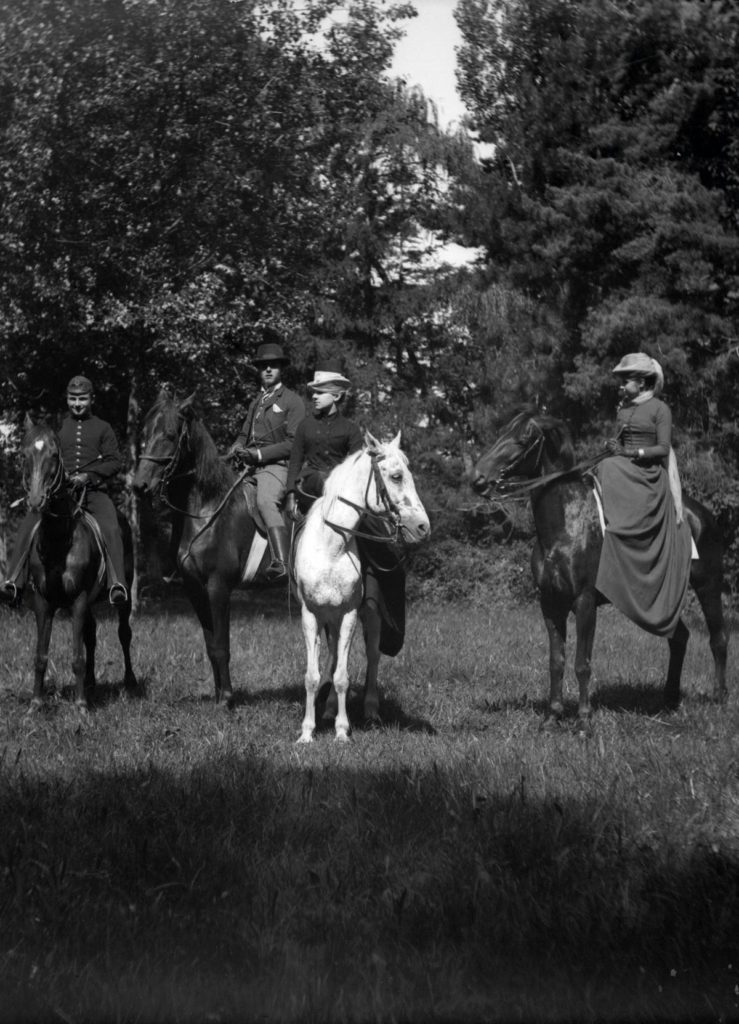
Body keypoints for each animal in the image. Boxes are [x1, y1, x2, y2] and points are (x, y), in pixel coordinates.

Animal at [20, 415, 137, 712]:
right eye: (25, 454)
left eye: (53, 454)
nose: (36, 499)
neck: (59, 540)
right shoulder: (43, 603)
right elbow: (41, 656)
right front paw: (35, 704)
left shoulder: (79, 599)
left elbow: (77, 657)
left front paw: (81, 706)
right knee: (91, 635)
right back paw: (93, 683)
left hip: (123, 596)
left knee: (124, 633)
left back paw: (129, 682)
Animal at [292, 432, 429, 745]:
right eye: (396, 476)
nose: (423, 526)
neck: (331, 548)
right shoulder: (311, 615)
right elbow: (313, 676)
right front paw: (307, 732)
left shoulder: (349, 614)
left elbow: (343, 677)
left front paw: (342, 732)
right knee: (333, 659)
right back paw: (329, 710)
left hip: (371, 616)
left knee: (372, 656)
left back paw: (370, 710)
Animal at [472, 409, 724, 729]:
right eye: (502, 431)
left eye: (524, 438)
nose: (478, 478)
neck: (566, 526)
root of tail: (701, 516)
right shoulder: (550, 603)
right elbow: (556, 662)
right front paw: (552, 716)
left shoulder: (585, 602)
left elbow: (582, 663)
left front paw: (583, 721)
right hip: (662, 601)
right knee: (679, 638)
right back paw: (669, 700)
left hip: (708, 586)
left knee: (718, 639)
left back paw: (719, 698)